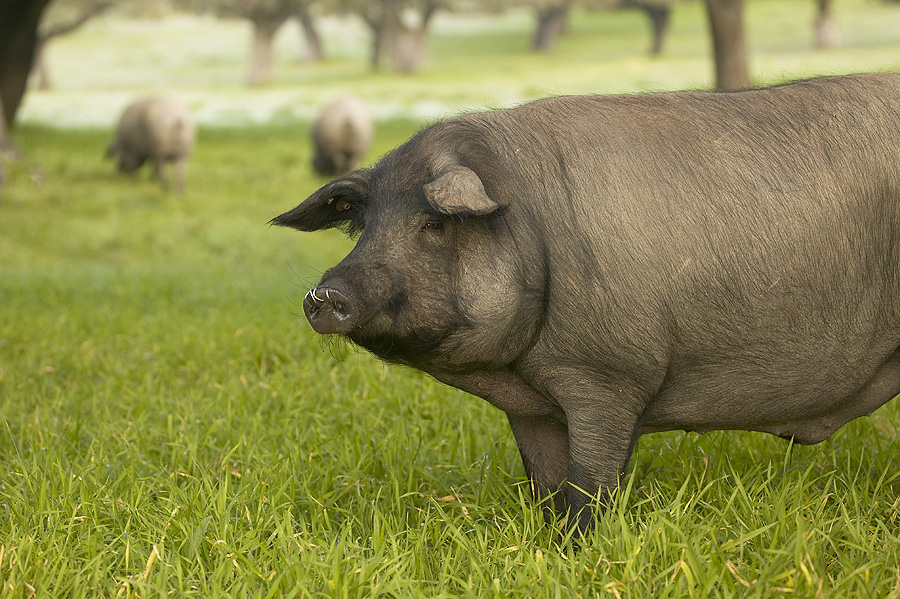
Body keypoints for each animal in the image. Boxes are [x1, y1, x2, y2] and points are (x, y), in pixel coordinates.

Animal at [270, 74, 900, 536]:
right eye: (363, 225)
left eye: (434, 224)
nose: (324, 294)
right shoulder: (532, 406)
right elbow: (544, 483)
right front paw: (547, 542)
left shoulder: (610, 373)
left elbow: (590, 484)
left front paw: (582, 546)